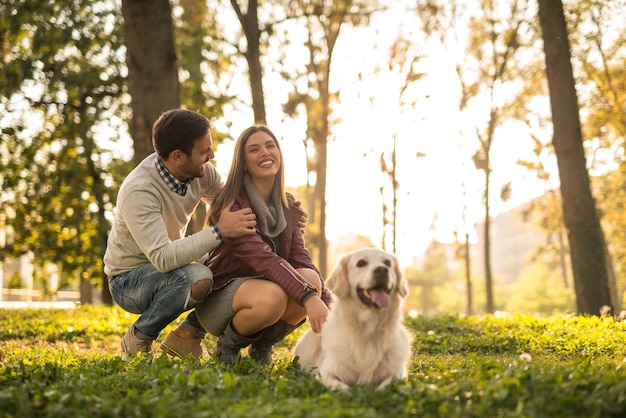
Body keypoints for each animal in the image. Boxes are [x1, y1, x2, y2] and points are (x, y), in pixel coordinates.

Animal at [294, 247, 412, 390]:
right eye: (361, 263)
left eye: (388, 263)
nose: (382, 270)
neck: (368, 329)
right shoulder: (327, 373)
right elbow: (344, 389)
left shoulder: (397, 374)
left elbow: (385, 387)